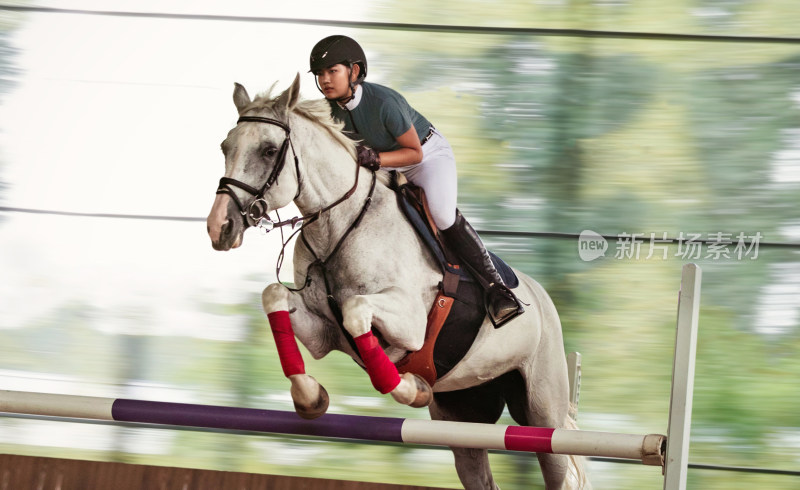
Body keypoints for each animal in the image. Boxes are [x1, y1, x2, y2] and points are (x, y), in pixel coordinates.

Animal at [206, 74, 588, 488]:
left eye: (268, 149)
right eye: (226, 146)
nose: (219, 227)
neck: (339, 225)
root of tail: (543, 300)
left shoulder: (410, 321)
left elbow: (357, 310)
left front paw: (410, 388)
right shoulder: (324, 332)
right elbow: (273, 295)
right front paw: (310, 396)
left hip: (542, 409)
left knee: (555, 464)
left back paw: (504, 303)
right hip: (462, 413)